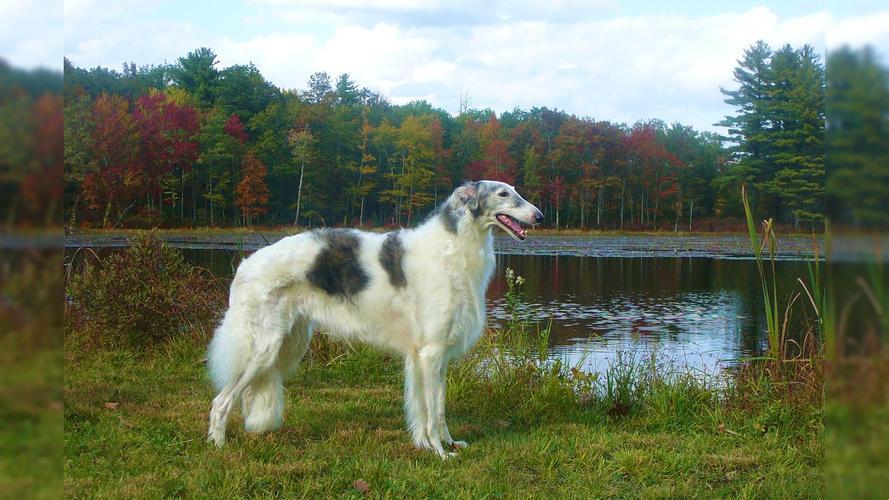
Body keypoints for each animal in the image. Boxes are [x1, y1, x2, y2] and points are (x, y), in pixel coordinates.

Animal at [206, 180, 540, 458]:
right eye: (503, 193)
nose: (539, 216)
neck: (453, 248)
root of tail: (246, 264)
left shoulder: (434, 355)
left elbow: (436, 408)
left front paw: (445, 444)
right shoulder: (430, 352)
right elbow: (432, 411)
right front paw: (440, 452)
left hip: (288, 342)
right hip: (263, 347)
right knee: (220, 402)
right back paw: (218, 445)